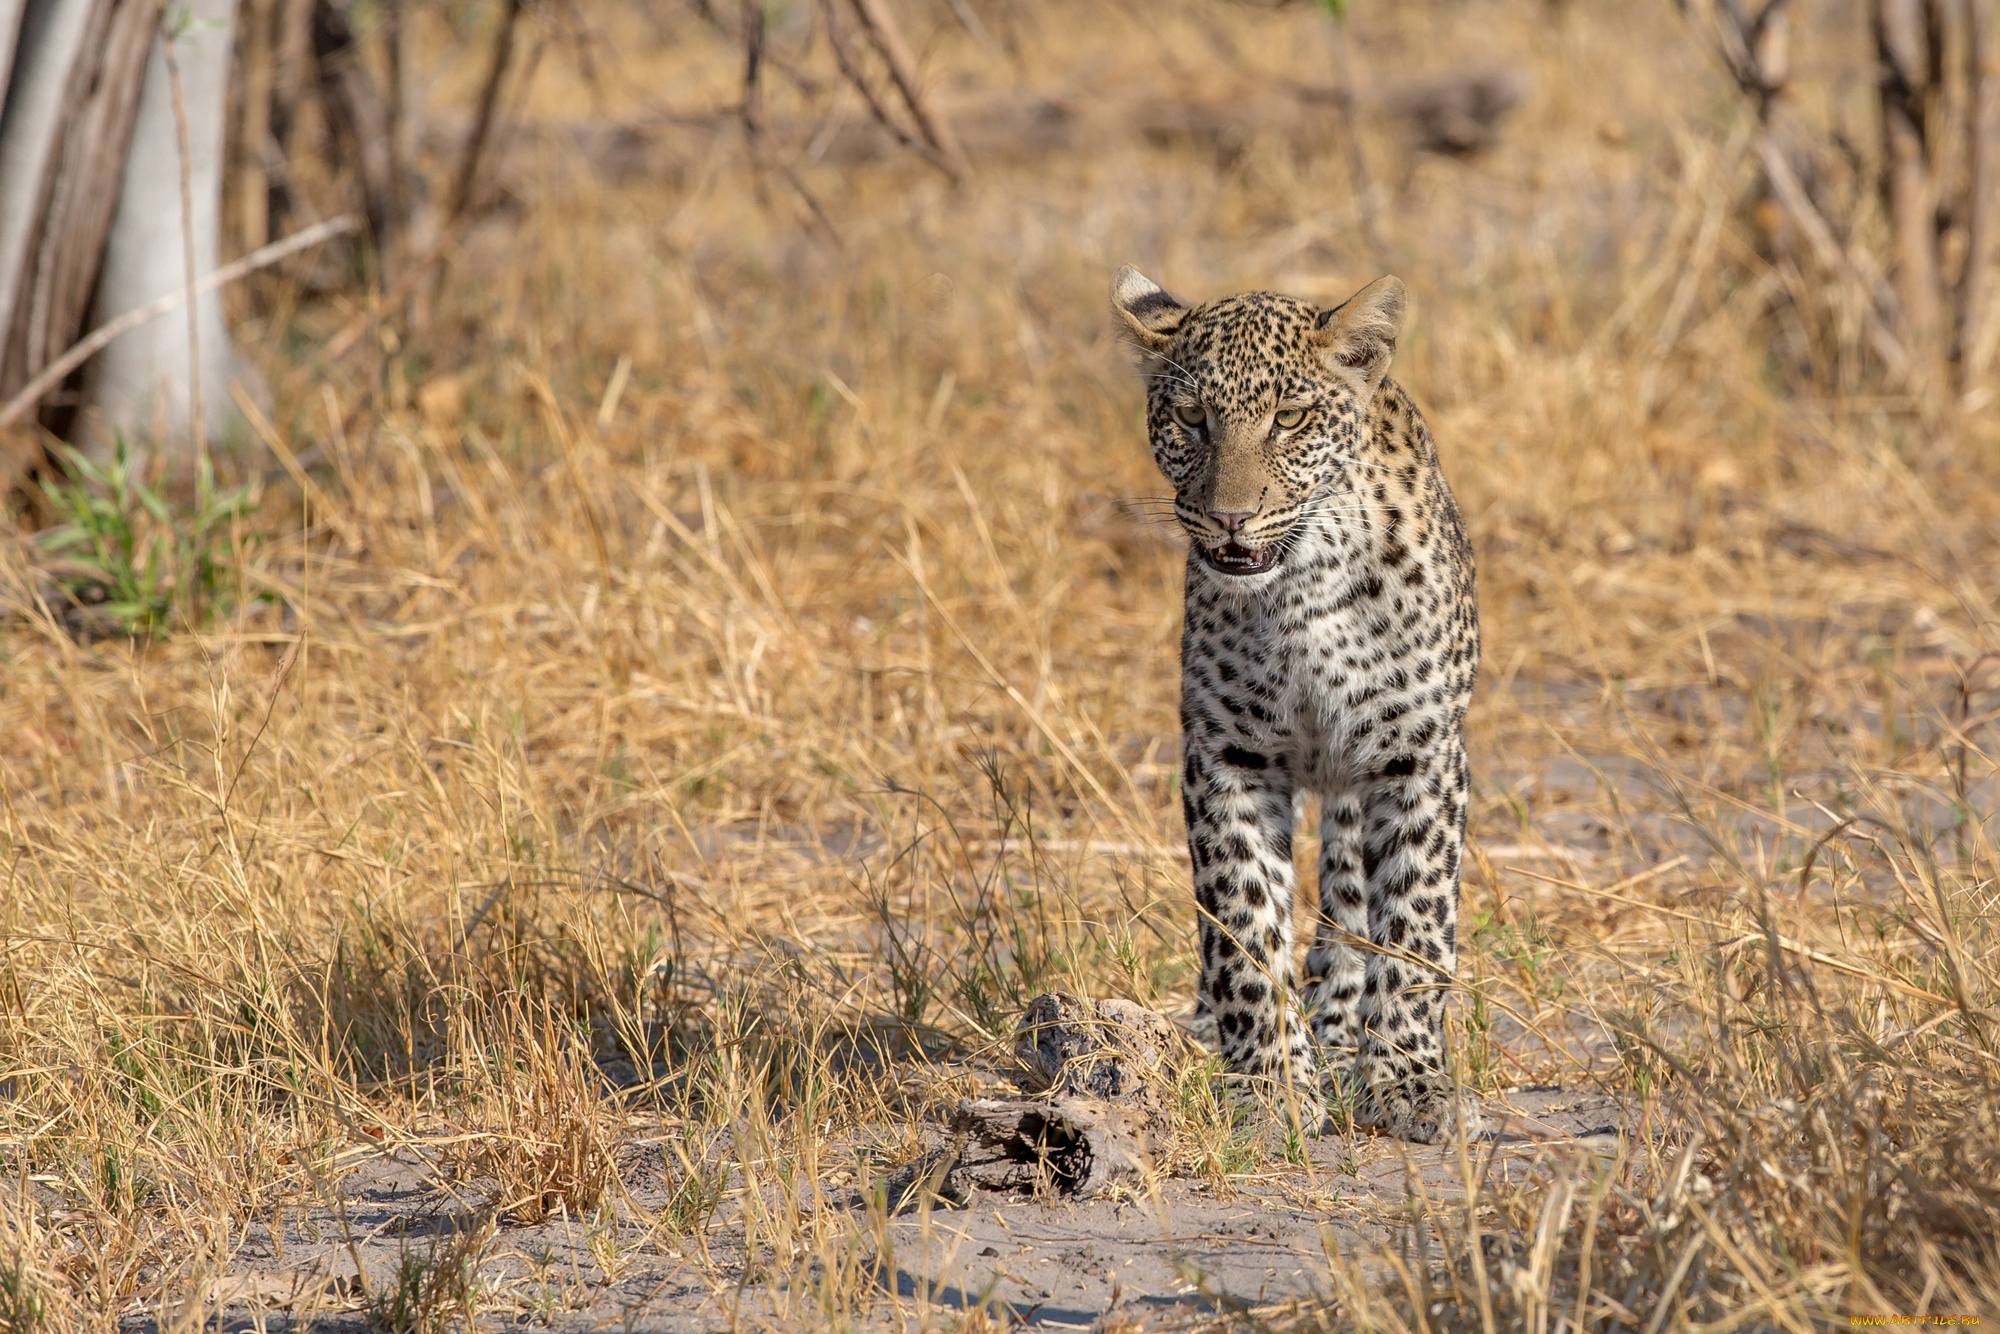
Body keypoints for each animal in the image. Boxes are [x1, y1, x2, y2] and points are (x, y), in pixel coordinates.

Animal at [1111, 265, 1481, 1144]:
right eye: (1192, 418)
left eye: (1289, 419)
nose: (1231, 517)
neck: (1304, 586)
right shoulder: (1227, 758)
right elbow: (1245, 929)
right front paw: (1273, 1083)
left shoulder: (1419, 755)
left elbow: (1415, 928)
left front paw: (1410, 1084)